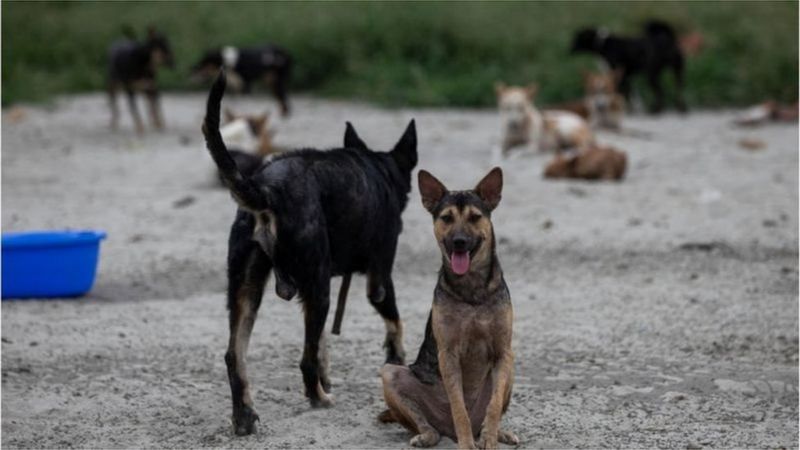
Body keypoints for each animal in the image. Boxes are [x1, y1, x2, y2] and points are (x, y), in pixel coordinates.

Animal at [202, 71, 418, 436]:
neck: (379, 169)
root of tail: (266, 190)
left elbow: (321, 345)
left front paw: (326, 375)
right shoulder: (378, 280)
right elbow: (395, 323)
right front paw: (397, 358)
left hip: (246, 291)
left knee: (235, 356)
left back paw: (244, 416)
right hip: (319, 290)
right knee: (303, 361)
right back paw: (319, 399)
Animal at [380, 167, 520, 448]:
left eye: (475, 217)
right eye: (446, 218)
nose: (459, 241)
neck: (472, 289)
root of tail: (446, 432)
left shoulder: (503, 352)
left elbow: (493, 407)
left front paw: (490, 439)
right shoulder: (449, 355)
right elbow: (458, 408)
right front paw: (467, 444)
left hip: (510, 367)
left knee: (490, 413)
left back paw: (497, 433)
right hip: (390, 374)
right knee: (425, 424)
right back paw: (427, 435)